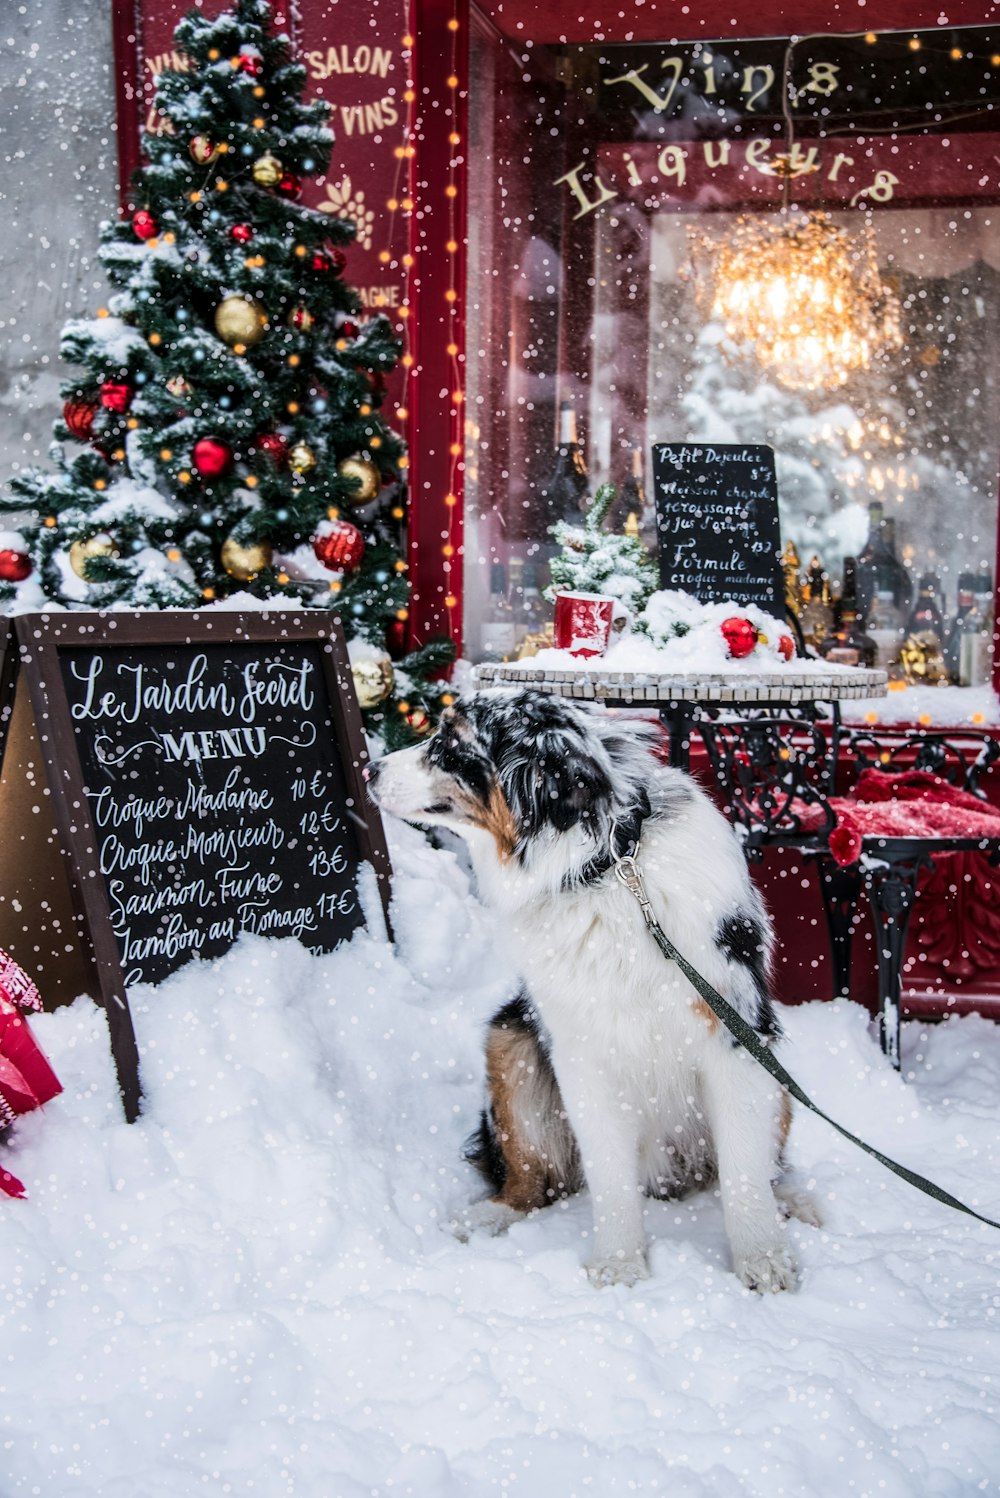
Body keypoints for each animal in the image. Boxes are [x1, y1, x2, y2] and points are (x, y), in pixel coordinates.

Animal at [366, 689, 820, 1288]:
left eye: (450, 743)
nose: (369, 770)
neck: (605, 868)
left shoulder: (735, 1034)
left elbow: (744, 1171)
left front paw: (762, 1260)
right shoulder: (580, 1051)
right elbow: (608, 1174)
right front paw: (620, 1264)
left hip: (776, 1076)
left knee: (751, 1168)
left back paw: (792, 1201)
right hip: (508, 1042)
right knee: (534, 1181)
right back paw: (487, 1216)